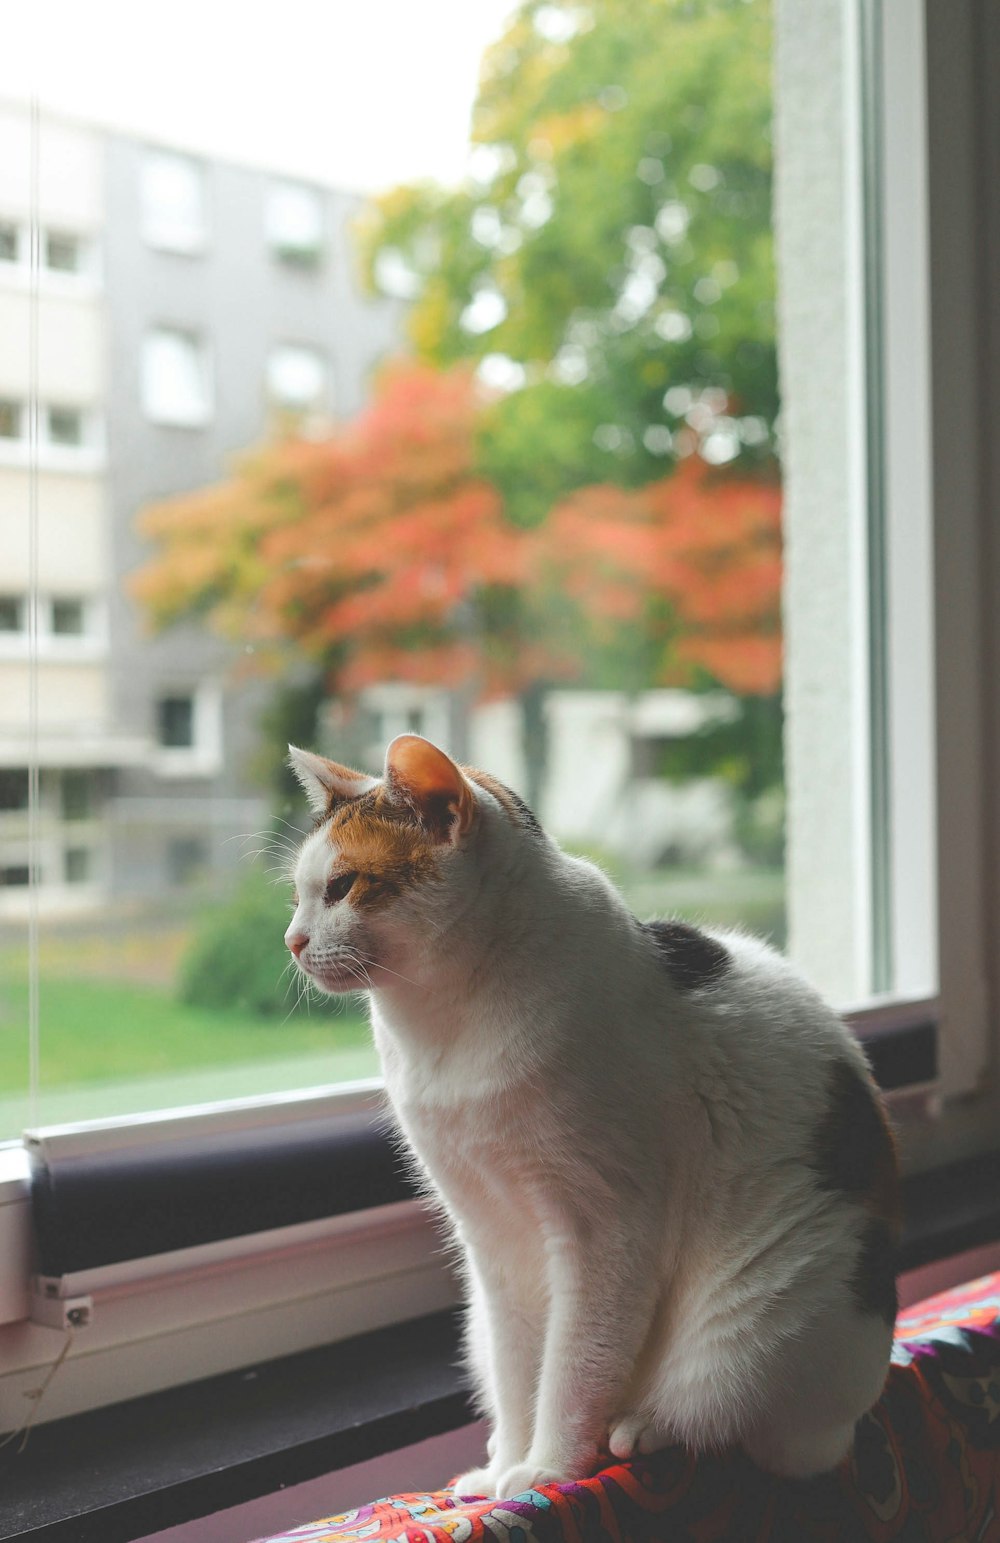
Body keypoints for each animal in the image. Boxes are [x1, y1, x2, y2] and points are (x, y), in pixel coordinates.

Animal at [280, 734, 901, 1493]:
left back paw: (640, 1427)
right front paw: (506, 1465)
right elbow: (520, 1372)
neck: (445, 1026)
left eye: (342, 886)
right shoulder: (489, 1235)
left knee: (733, 1421)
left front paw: (548, 1467)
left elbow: (575, 1366)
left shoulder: (605, 1225)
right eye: (298, 894)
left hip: (757, 1327)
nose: (291, 940)